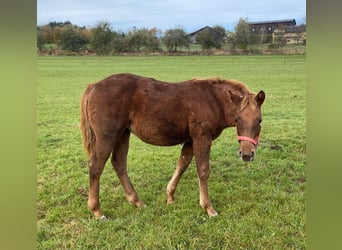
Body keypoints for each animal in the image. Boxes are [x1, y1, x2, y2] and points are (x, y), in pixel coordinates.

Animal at [79, 73, 264, 219]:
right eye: (237, 119)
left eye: (259, 120)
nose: (246, 154)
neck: (212, 100)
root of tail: (94, 86)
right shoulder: (202, 138)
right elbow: (203, 170)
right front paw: (208, 208)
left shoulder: (190, 140)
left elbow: (182, 164)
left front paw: (170, 197)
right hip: (107, 136)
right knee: (96, 166)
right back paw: (97, 211)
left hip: (123, 134)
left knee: (119, 163)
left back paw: (137, 201)